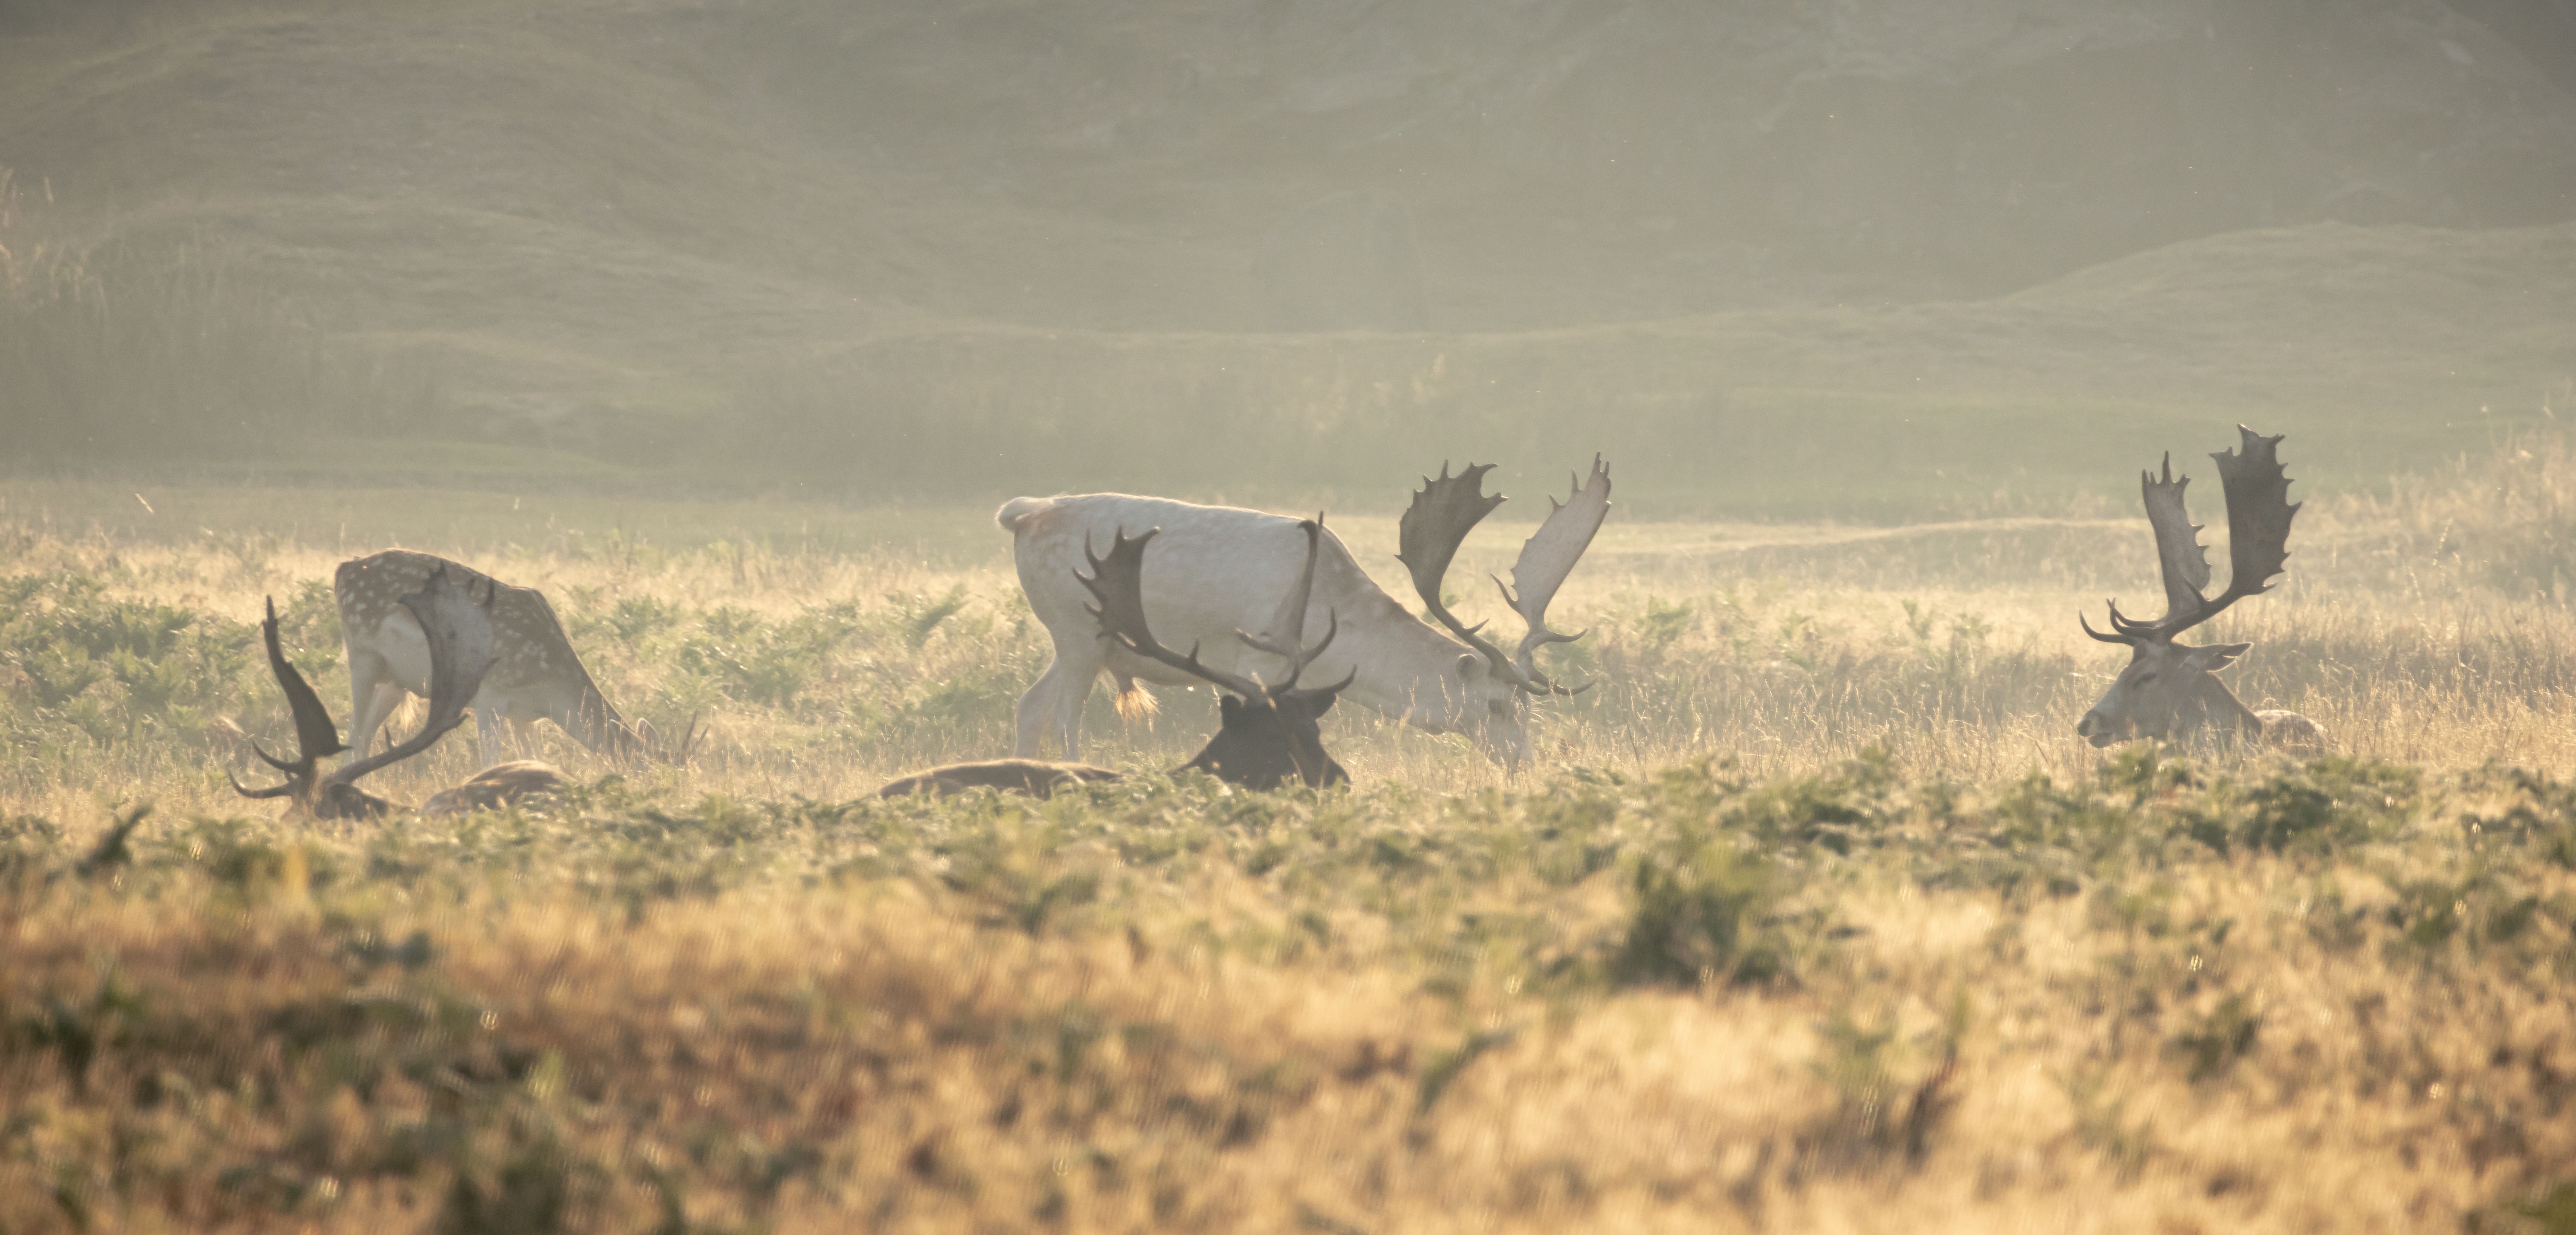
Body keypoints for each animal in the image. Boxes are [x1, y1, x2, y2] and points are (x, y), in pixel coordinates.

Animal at [337, 550, 665, 769]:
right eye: (644, 771)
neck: (548, 685)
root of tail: (343, 567)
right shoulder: (490, 697)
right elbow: (490, 762)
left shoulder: (525, 717)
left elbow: (536, 761)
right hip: (361, 656)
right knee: (354, 733)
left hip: (396, 680)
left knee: (367, 735)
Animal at [999, 456, 1611, 767]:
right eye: (1496, 706)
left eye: (1528, 709)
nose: (1526, 764)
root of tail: (1023, 515)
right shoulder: (1255, 663)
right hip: (1078, 630)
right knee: (1065, 718)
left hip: (1078, 640)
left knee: (1030, 707)